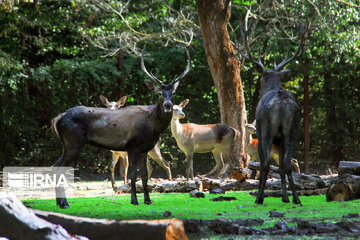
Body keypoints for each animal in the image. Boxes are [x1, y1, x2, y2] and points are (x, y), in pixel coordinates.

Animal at [52, 49, 191, 208]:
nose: (168, 105)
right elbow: (132, 173)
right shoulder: (132, 146)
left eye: (173, 93)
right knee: (60, 167)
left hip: (66, 144)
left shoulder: (145, 149)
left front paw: (148, 200)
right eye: (159, 93)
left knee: (55, 165)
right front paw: (134, 200)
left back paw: (59, 202)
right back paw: (64, 203)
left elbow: (144, 174)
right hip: (73, 142)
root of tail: (57, 119)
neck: (152, 127)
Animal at [240, 18, 308, 204]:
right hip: (292, 130)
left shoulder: (260, 132)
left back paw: (259, 198)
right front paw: (285, 197)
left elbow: (266, 164)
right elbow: (282, 167)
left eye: (261, 78)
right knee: (287, 162)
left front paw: (262, 195)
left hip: (267, 130)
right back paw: (296, 198)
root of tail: (282, 105)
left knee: (266, 164)